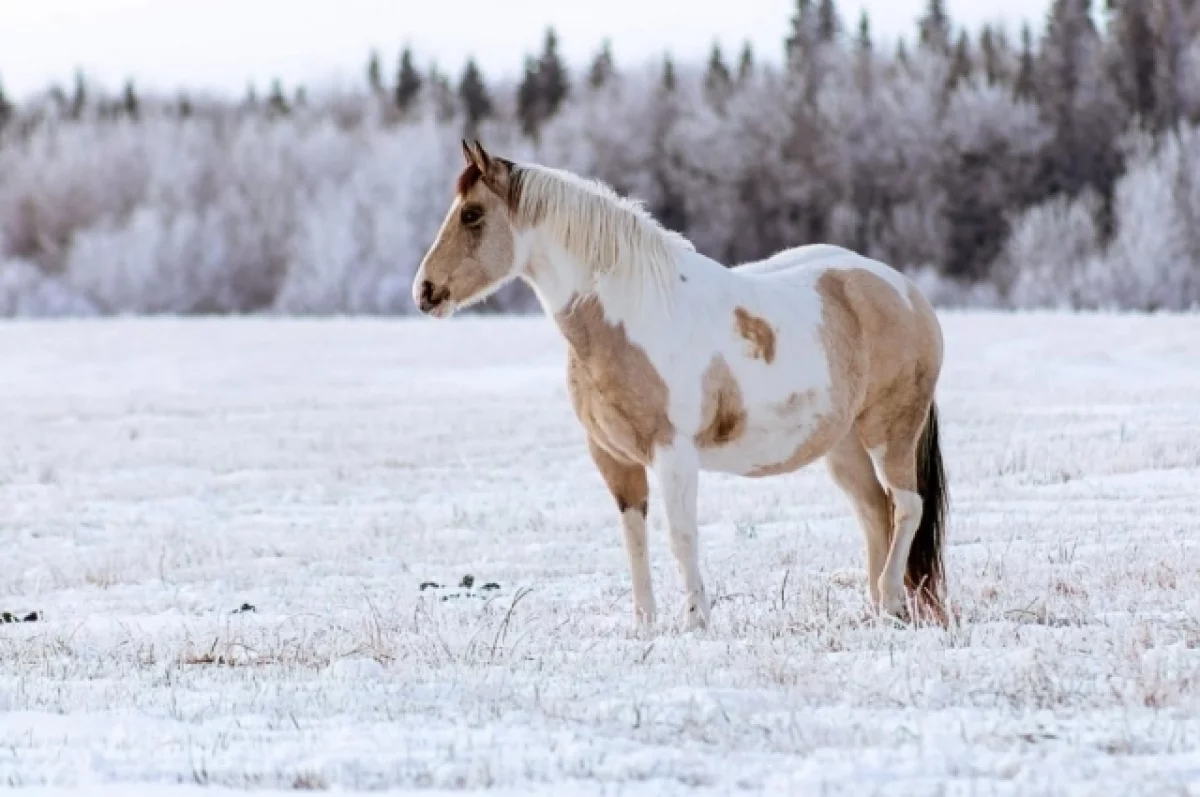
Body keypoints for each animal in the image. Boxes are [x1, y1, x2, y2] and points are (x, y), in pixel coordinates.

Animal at [413, 140, 948, 630]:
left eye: (472, 215)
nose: (425, 291)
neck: (631, 314)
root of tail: (907, 291)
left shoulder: (673, 454)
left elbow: (681, 536)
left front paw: (695, 623)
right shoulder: (614, 458)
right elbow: (635, 538)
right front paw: (645, 628)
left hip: (890, 432)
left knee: (906, 506)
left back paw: (892, 602)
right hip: (844, 447)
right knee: (875, 513)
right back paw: (879, 613)